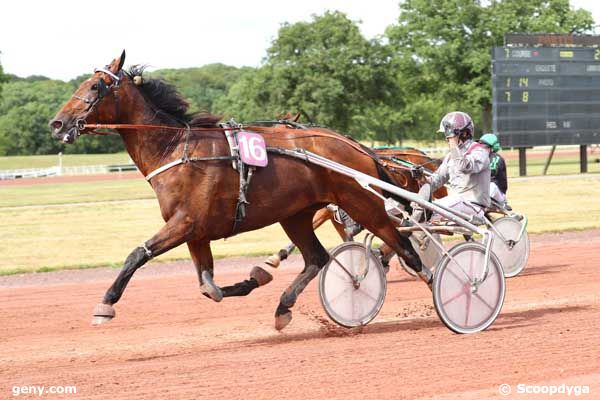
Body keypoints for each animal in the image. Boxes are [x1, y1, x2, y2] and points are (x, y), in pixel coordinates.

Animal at [48, 51, 432, 330]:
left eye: (95, 86)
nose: (57, 123)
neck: (176, 149)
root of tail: (357, 146)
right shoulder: (196, 233)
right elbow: (208, 287)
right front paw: (251, 280)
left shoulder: (184, 223)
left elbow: (136, 255)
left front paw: (105, 304)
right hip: (296, 214)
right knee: (317, 258)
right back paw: (283, 306)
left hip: (360, 203)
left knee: (403, 247)